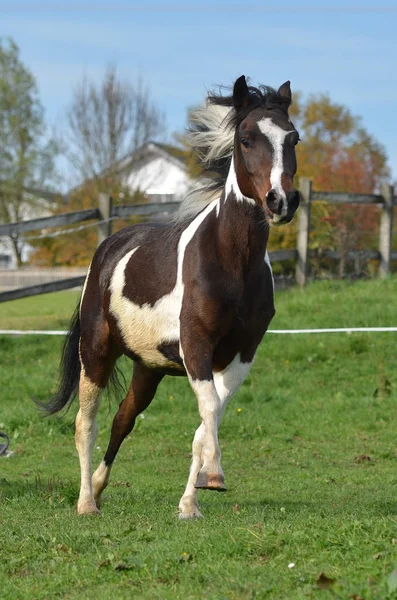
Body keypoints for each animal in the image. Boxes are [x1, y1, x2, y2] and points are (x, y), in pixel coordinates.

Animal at [41, 74, 300, 516]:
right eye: (246, 139)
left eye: (293, 138)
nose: (281, 201)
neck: (232, 263)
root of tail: (108, 247)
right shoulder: (196, 345)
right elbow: (209, 408)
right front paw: (213, 478)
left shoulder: (242, 353)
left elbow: (207, 421)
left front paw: (190, 503)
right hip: (95, 352)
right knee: (85, 423)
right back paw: (86, 502)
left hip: (149, 367)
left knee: (123, 419)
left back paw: (100, 485)